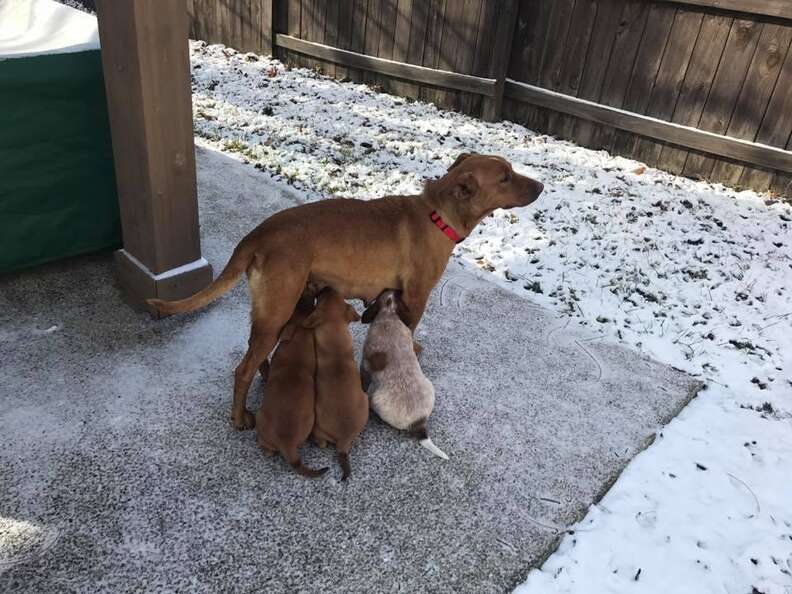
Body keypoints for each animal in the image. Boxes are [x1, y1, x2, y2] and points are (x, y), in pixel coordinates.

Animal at [148, 153, 544, 430]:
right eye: (505, 177)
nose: (542, 187)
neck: (436, 214)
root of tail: (258, 233)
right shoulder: (415, 297)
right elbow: (409, 329)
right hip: (279, 307)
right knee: (241, 370)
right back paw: (239, 416)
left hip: (275, 310)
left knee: (255, 352)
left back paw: (267, 374)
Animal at [362, 286, 448, 458]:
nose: (395, 288)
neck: (389, 312)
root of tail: (419, 422)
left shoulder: (365, 361)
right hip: (429, 384)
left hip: (375, 399)